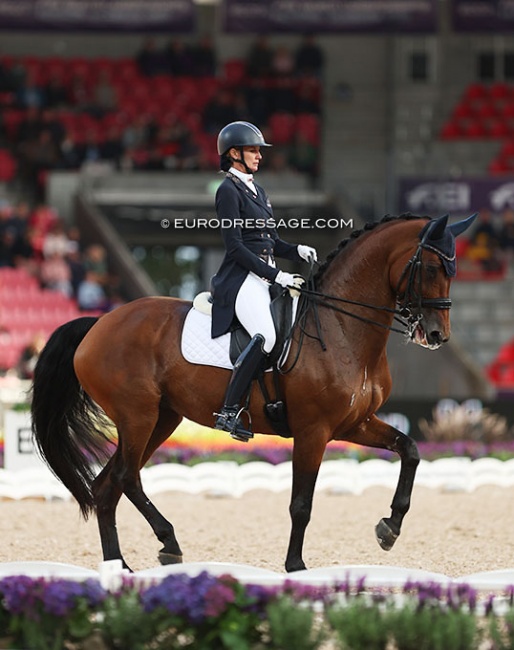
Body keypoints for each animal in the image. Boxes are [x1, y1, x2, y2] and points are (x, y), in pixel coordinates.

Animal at [31, 211, 472, 568]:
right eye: (431, 268)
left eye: (453, 270)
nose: (437, 335)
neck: (342, 328)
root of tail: (99, 323)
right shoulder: (313, 431)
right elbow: (301, 504)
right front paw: (296, 566)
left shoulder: (355, 423)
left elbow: (410, 450)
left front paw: (389, 528)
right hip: (137, 415)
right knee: (126, 477)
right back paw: (167, 544)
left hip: (162, 418)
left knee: (108, 485)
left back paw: (119, 567)